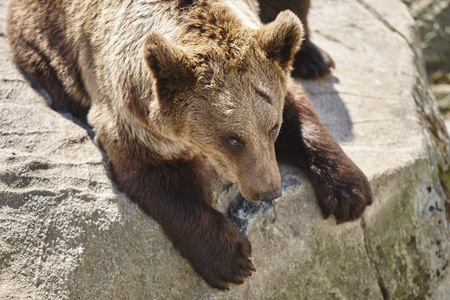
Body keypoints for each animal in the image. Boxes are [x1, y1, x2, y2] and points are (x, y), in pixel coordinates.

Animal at [7, 0, 370, 290]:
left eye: (272, 128)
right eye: (232, 138)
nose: (268, 190)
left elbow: (299, 112)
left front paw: (350, 192)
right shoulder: (132, 118)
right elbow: (165, 180)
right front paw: (232, 258)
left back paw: (313, 57)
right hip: (48, 38)